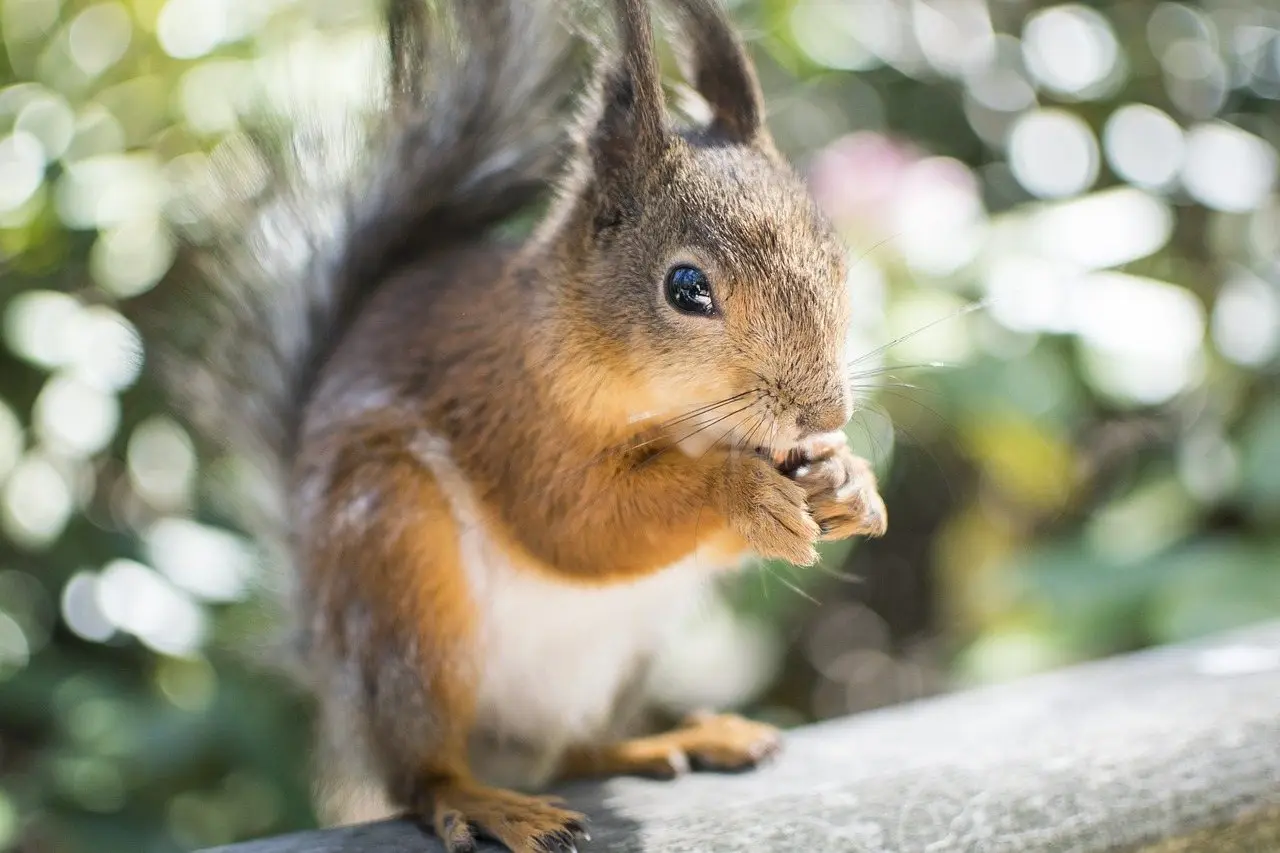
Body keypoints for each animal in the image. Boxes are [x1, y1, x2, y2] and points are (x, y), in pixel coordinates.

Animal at [147, 0, 888, 850]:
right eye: (686, 287)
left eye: (835, 257)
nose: (827, 412)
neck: (683, 419)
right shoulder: (509, 412)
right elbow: (576, 521)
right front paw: (741, 489)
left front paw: (850, 482)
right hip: (397, 582)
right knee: (420, 772)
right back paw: (482, 799)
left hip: (620, 658)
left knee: (572, 751)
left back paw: (666, 739)